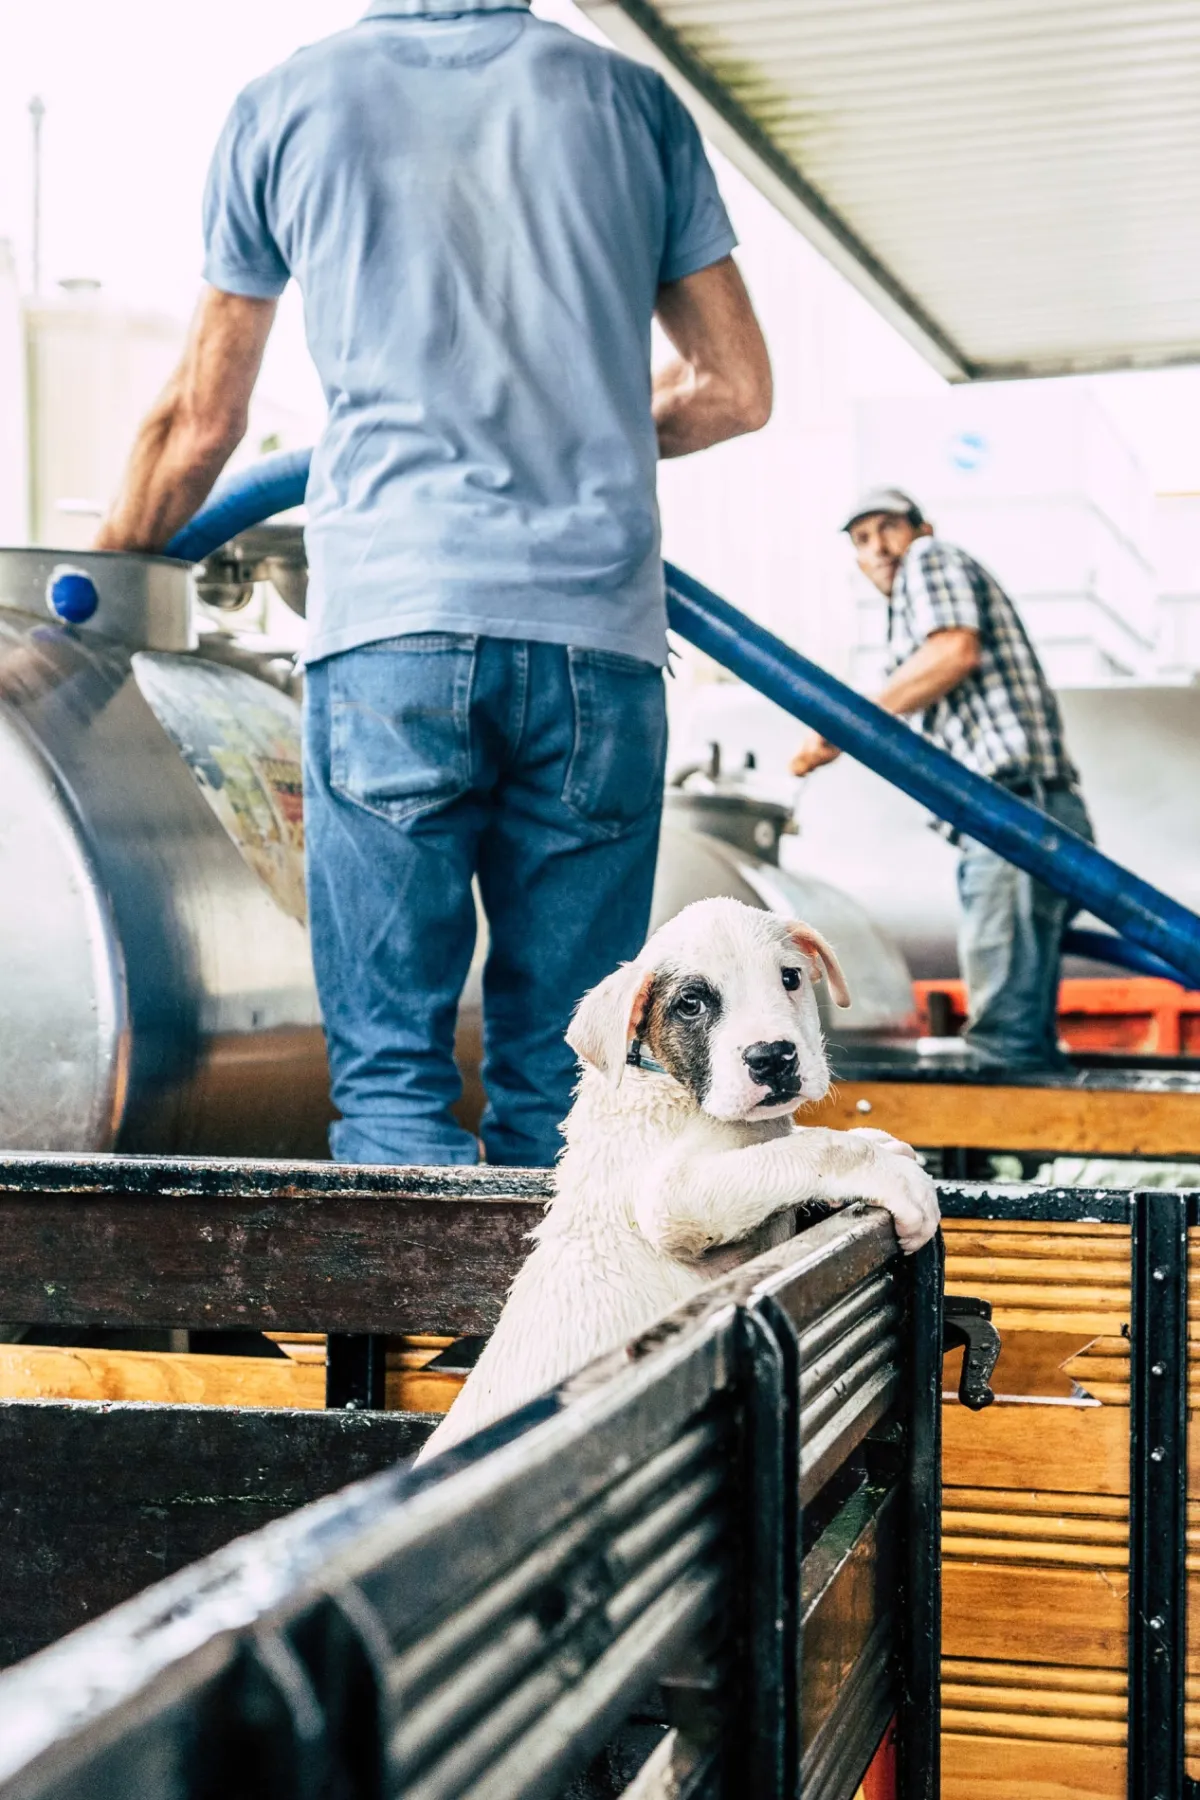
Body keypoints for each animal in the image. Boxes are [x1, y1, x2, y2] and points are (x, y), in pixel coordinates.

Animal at [420, 900, 935, 1461]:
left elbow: (797, 1139)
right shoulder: (671, 1200)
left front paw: (883, 1143)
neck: (675, 1089)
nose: (773, 1057)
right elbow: (808, 1146)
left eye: (790, 978)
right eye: (691, 1004)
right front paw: (897, 1178)